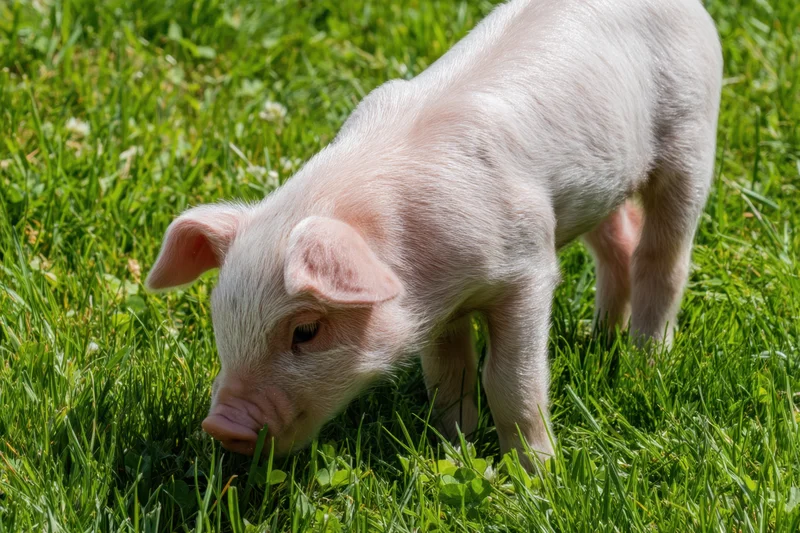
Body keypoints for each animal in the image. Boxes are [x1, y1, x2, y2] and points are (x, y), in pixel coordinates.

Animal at [146, 0, 722, 465]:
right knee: (617, 242)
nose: (220, 425)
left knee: (663, 258)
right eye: (219, 318)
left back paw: (645, 362)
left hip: (692, 133)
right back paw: (599, 336)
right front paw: (451, 449)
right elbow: (449, 376)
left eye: (306, 330)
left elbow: (509, 379)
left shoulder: (528, 269)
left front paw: (536, 477)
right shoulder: (442, 304)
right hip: (598, 181)